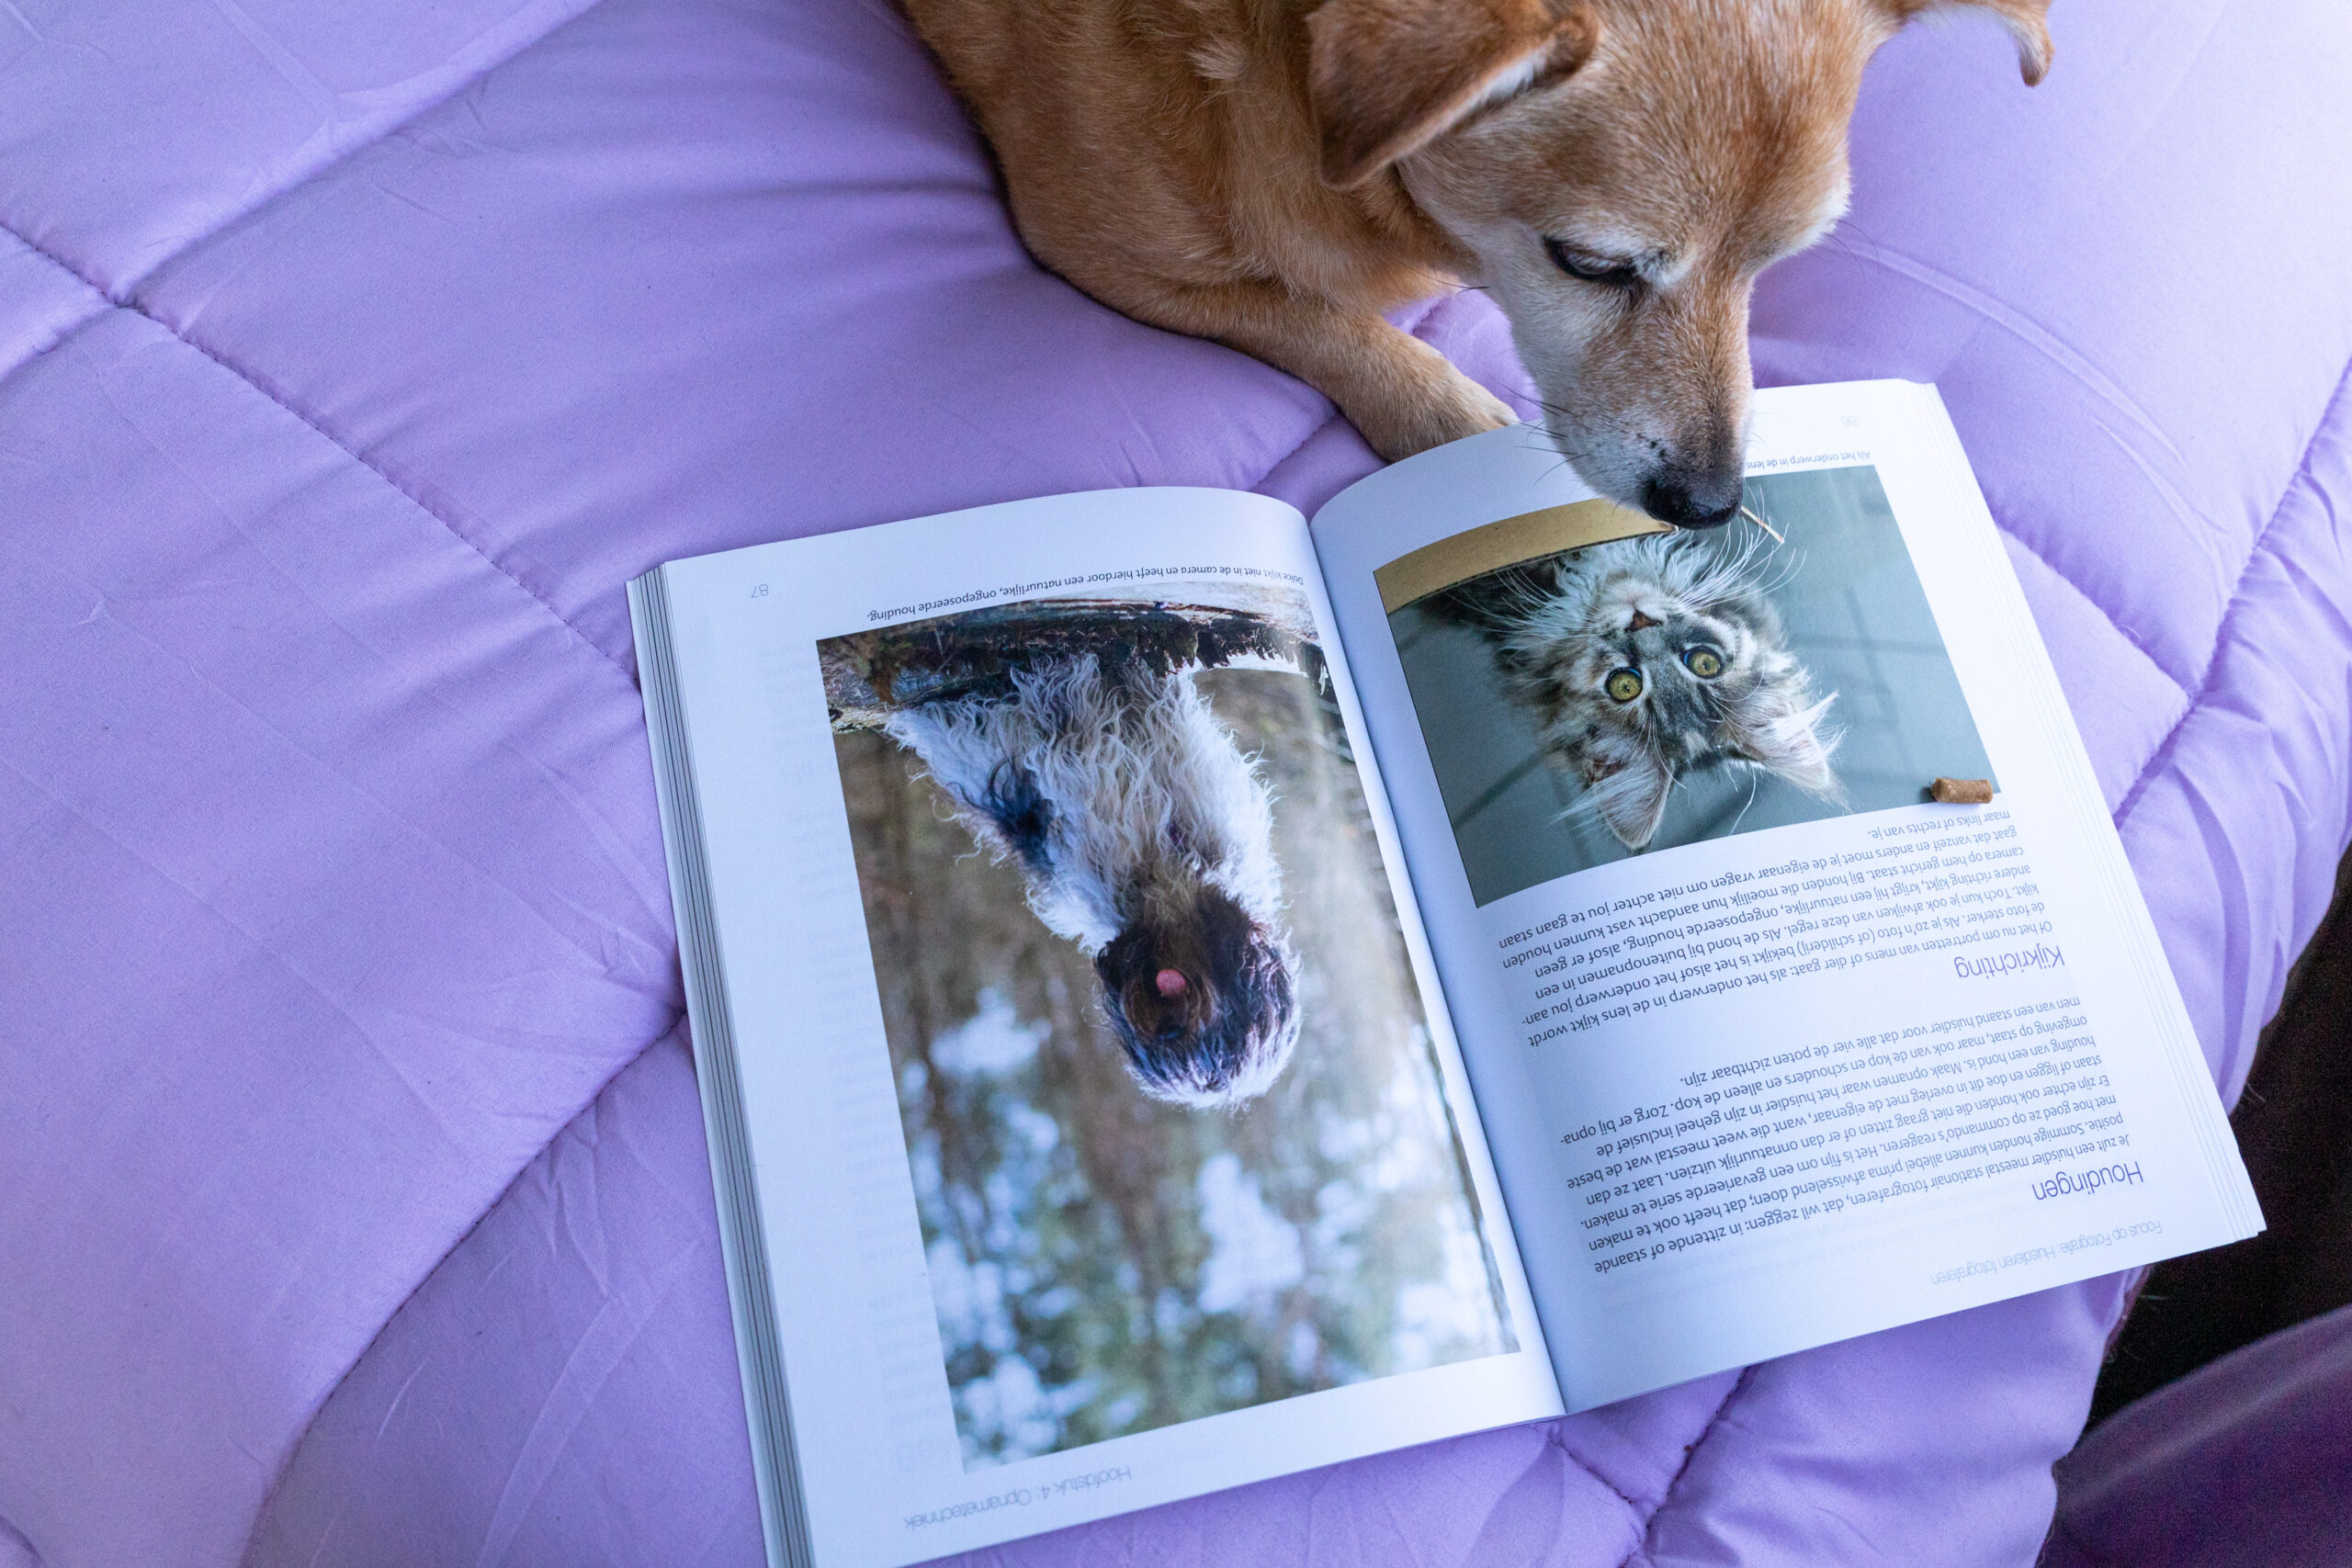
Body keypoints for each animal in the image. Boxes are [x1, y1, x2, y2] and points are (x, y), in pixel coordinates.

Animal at [908, 0, 2051, 531]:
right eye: (1591, 264)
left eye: (1772, 268)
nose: (1712, 504)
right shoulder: (1093, 249)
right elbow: (1317, 321)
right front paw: (1442, 417)